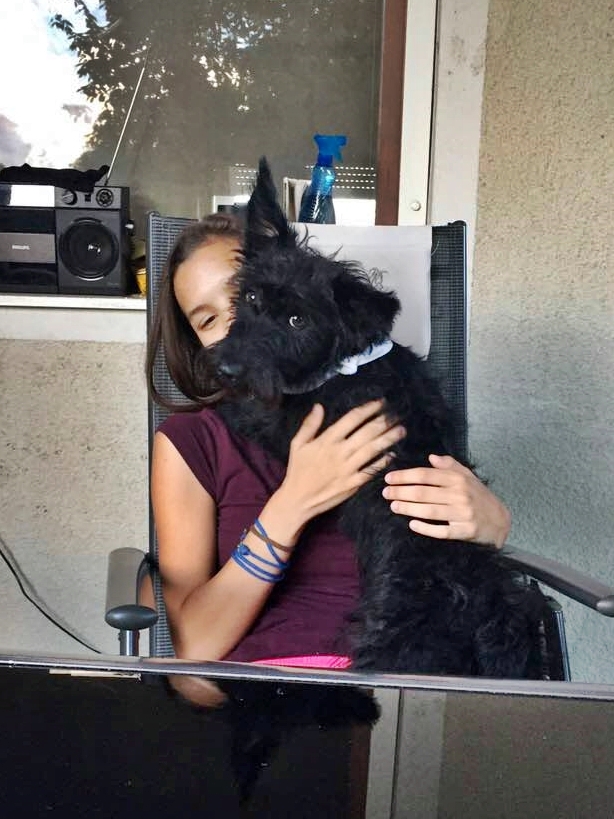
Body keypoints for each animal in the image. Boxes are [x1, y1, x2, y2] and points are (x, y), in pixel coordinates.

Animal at [212, 158, 546, 678]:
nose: (224, 368)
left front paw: (224, 403)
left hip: (395, 648)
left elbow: (258, 413)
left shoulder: (299, 429)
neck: (348, 361)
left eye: (298, 321)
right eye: (251, 300)